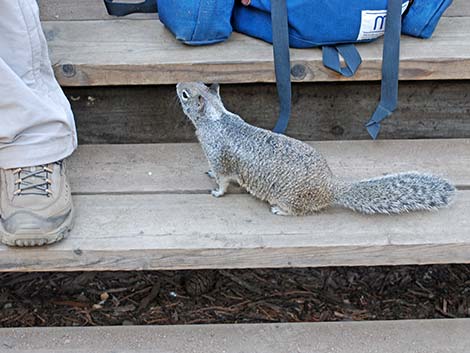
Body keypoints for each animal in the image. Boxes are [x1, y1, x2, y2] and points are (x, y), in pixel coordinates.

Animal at [176, 82, 456, 214]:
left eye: (185, 94)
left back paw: (279, 210)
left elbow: (223, 179)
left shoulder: (218, 156)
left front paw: (216, 191)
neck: (217, 117)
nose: (178, 85)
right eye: (196, 83)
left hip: (290, 199)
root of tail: (329, 188)